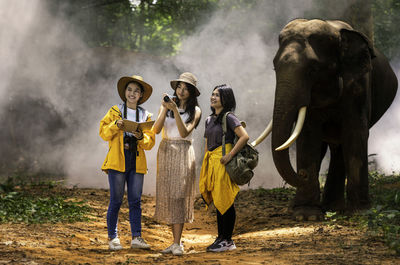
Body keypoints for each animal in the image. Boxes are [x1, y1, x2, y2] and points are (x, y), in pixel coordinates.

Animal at [253, 18, 396, 220]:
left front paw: (361, 213)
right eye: (274, 67)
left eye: (313, 70)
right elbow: (309, 136)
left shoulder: (359, 86)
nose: (303, 174)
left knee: (340, 147)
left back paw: (334, 207)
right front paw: (307, 216)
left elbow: (355, 134)